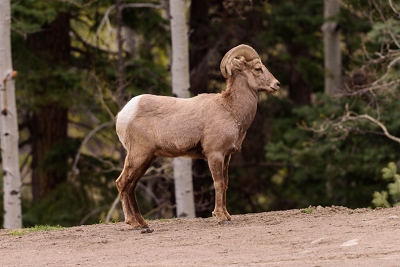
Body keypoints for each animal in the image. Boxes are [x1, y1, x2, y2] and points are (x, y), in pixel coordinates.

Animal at [114, 45, 280, 229]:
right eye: (258, 68)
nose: (277, 84)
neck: (231, 110)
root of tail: (124, 114)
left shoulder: (226, 156)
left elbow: (225, 183)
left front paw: (227, 216)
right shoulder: (215, 155)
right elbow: (218, 183)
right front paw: (220, 217)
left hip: (147, 159)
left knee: (131, 185)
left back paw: (142, 224)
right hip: (139, 155)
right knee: (122, 183)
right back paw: (134, 223)